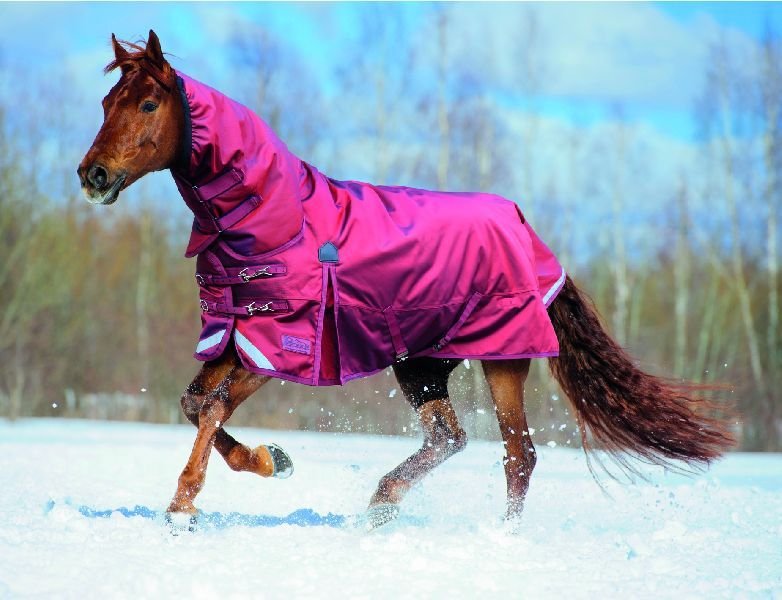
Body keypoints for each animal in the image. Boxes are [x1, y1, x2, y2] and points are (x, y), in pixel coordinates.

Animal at [77, 30, 735, 530]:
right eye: (107, 102)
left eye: (147, 105)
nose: (93, 174)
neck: (275, 217)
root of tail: (534, 240)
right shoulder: (234, 332)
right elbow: (194, 404)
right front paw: (276, 460)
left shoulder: (280, 342)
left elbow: (210, 408)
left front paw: (183, 508)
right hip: (422, 364)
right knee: (451, 438)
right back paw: (381, 505)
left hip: (502, 358)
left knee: (517, 455)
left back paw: (500, 537)